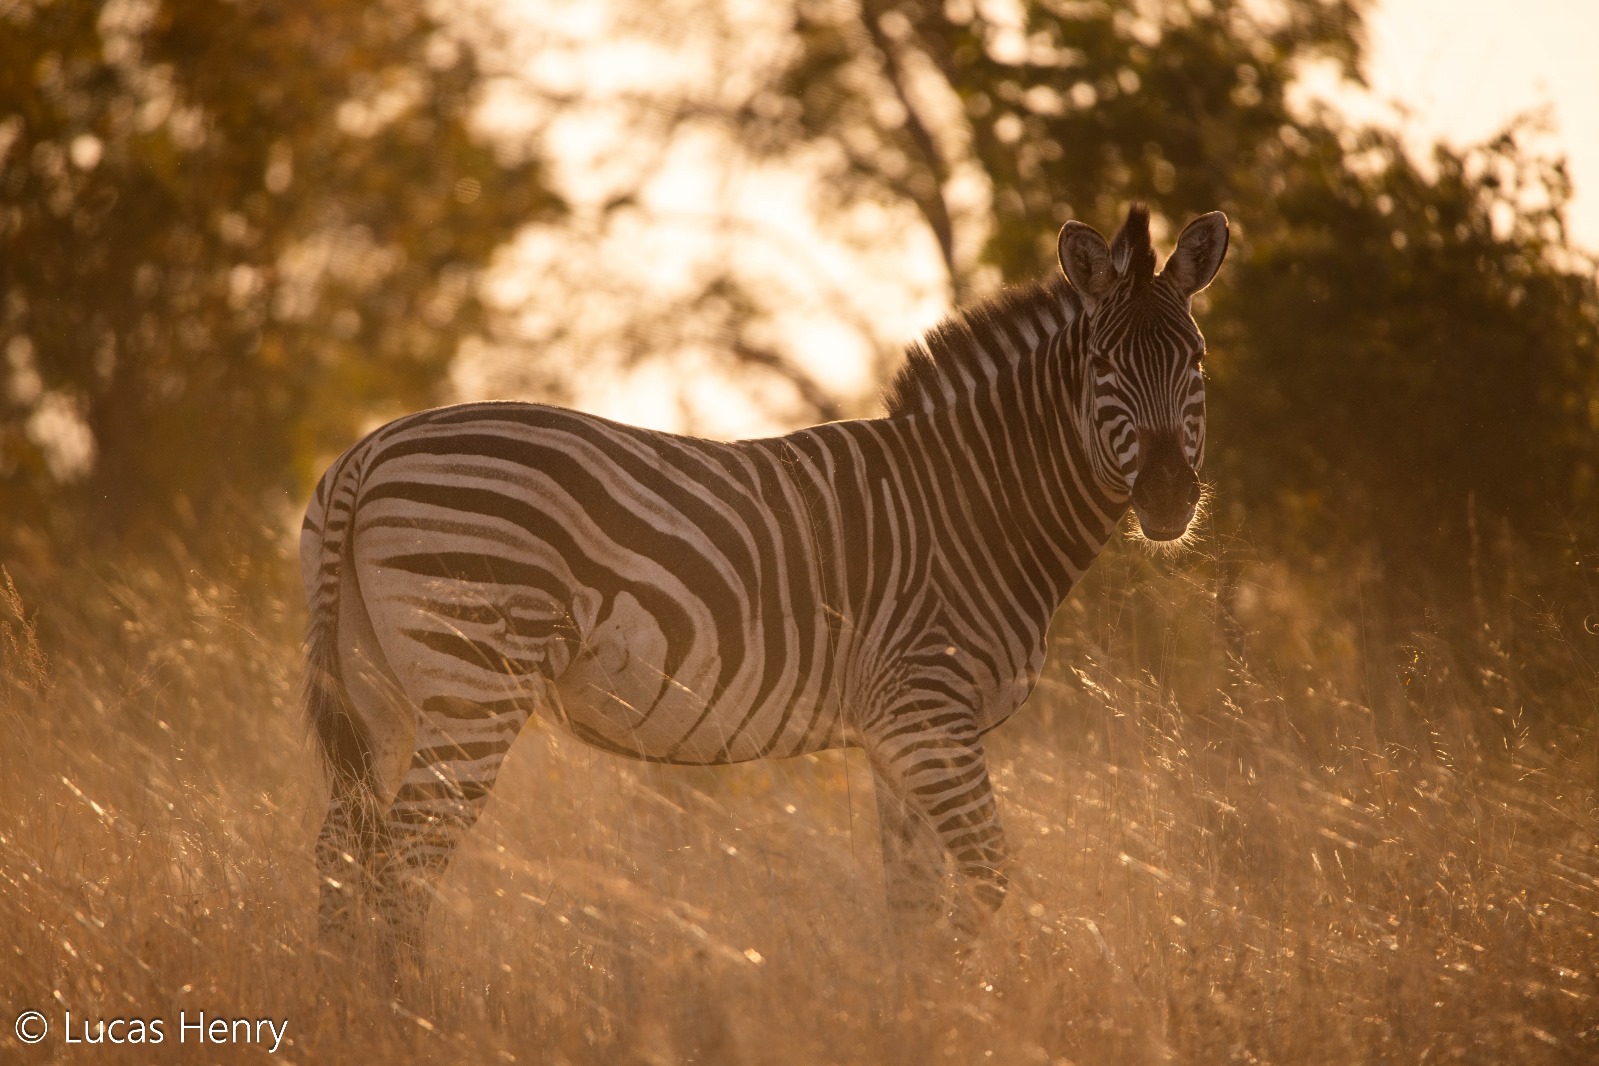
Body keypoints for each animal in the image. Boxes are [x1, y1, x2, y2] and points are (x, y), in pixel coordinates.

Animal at [300, 202, 1221, 978]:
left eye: (1197, 362)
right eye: (1100, 364)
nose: (1167, 498)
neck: (978, 501)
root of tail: (364, 452)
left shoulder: (895, 735)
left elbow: (914, 904)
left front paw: (917, 1015)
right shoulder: (924, 713)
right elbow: (985, 880)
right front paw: (962, 1010)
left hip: (381, 688)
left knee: (343, 856)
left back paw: (348, 1011)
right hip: (474, 678)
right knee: (403, 863)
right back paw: (415, 1014)